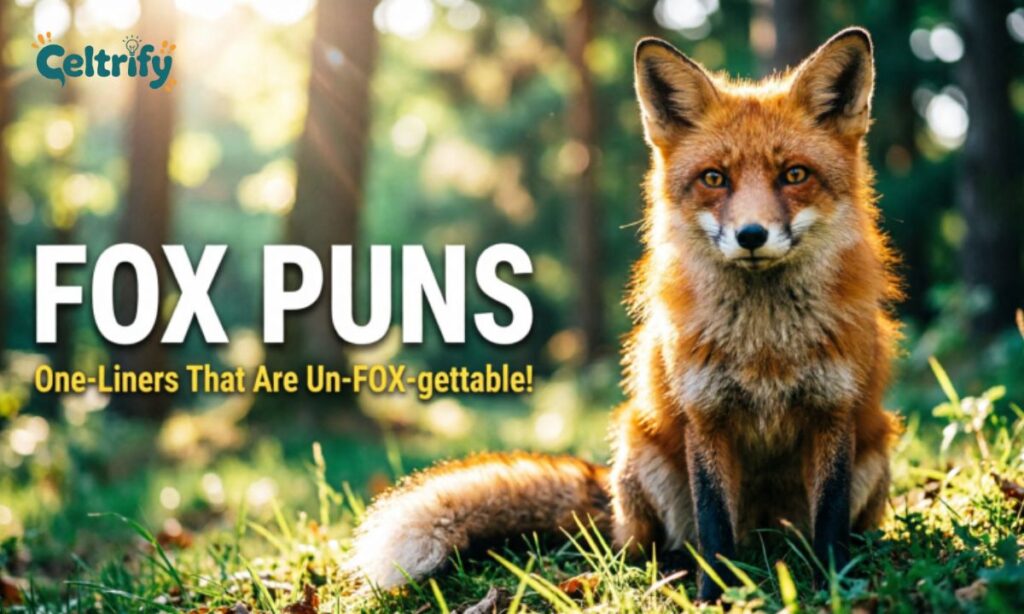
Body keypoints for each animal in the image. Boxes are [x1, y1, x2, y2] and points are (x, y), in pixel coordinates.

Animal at [346, 27, 901, 602]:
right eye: (714, 178)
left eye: (794, 174)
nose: (751, 235)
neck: (764, 347)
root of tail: (766, 541)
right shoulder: (705, 416)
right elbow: (714, 527)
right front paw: (714, 599)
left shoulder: (832, 411)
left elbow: (830, 522)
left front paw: (836, 588)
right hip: (641, 449)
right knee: (646, 549)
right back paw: (667, 571)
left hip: (875, 449)